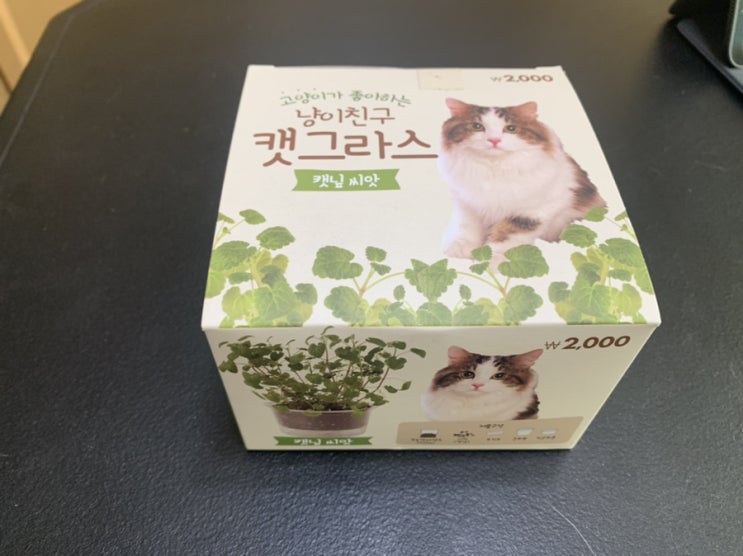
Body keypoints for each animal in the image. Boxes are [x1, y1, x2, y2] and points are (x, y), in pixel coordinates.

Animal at [438, 98, 606, 264]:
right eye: (477, 126)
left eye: (511, 128)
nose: (494, 140)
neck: (495, 168)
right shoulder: (468, 203)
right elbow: (467, 225)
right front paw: (462, 248)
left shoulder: (532, 212)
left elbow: (507, 234)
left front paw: (495, 260)